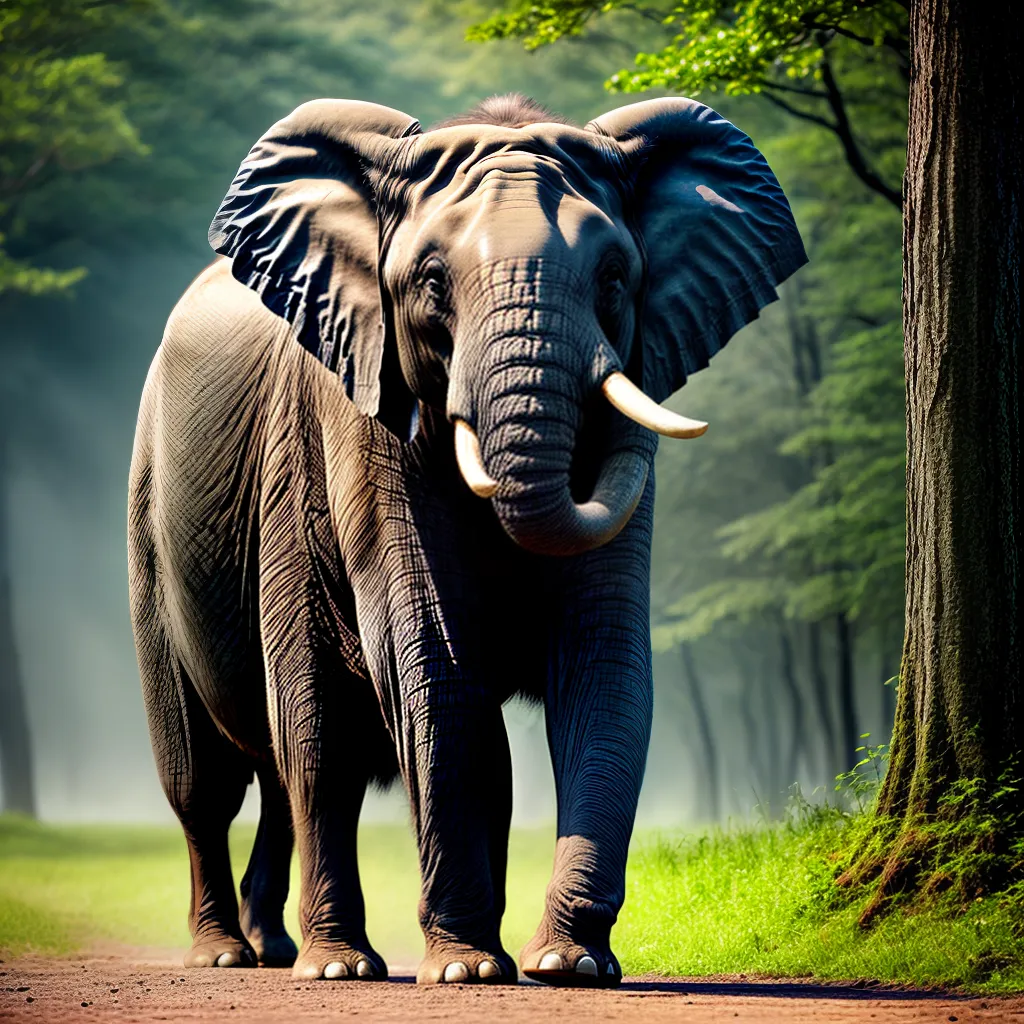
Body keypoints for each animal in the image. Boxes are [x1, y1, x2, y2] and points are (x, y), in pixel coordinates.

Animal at [128, 92, 804, 987]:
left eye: (614, 279)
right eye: (431, 281)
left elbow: (601, 661)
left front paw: (565, 964)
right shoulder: (362, 412)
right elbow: (434, 655)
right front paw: (467, 972)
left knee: (288, 768)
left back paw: (283, 950)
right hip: (153, 517)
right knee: (241, 766)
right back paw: (276, 961)